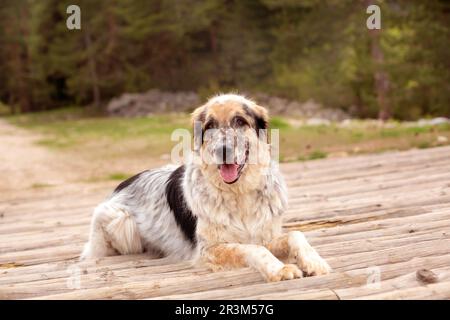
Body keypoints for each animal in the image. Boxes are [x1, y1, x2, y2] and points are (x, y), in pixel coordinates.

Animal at [81, 94, 330, 282]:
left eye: (240, 121)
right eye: (210, 126)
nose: (223, 150)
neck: (239, 194)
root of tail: (122, 183)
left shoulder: (264, 234)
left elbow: (295, 235)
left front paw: (315, 261)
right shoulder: (208, 250)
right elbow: (253, 249)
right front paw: (280, 269)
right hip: (122, 222)